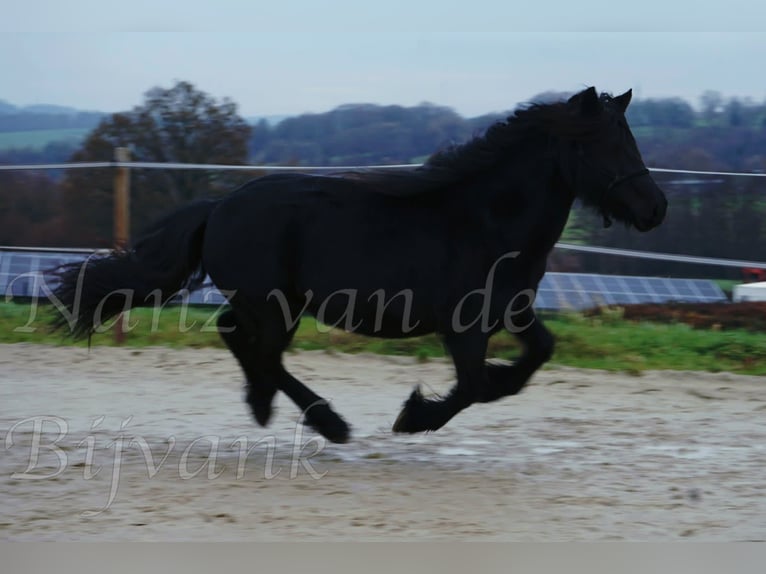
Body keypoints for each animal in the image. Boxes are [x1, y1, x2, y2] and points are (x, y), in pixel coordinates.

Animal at [49, 86, 667, 444]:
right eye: (603, 143)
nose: (655, 208)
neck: (487, 219)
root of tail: (219, 206)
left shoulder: (513, 310)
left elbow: (534, 359)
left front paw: (436, 402)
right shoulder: (464, 325)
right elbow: (474, 386)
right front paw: (412, 415)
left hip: (272, 305)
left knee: (242, 342)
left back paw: (270, 408)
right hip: (274, 305)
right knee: (259, 350)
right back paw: (327, 422)